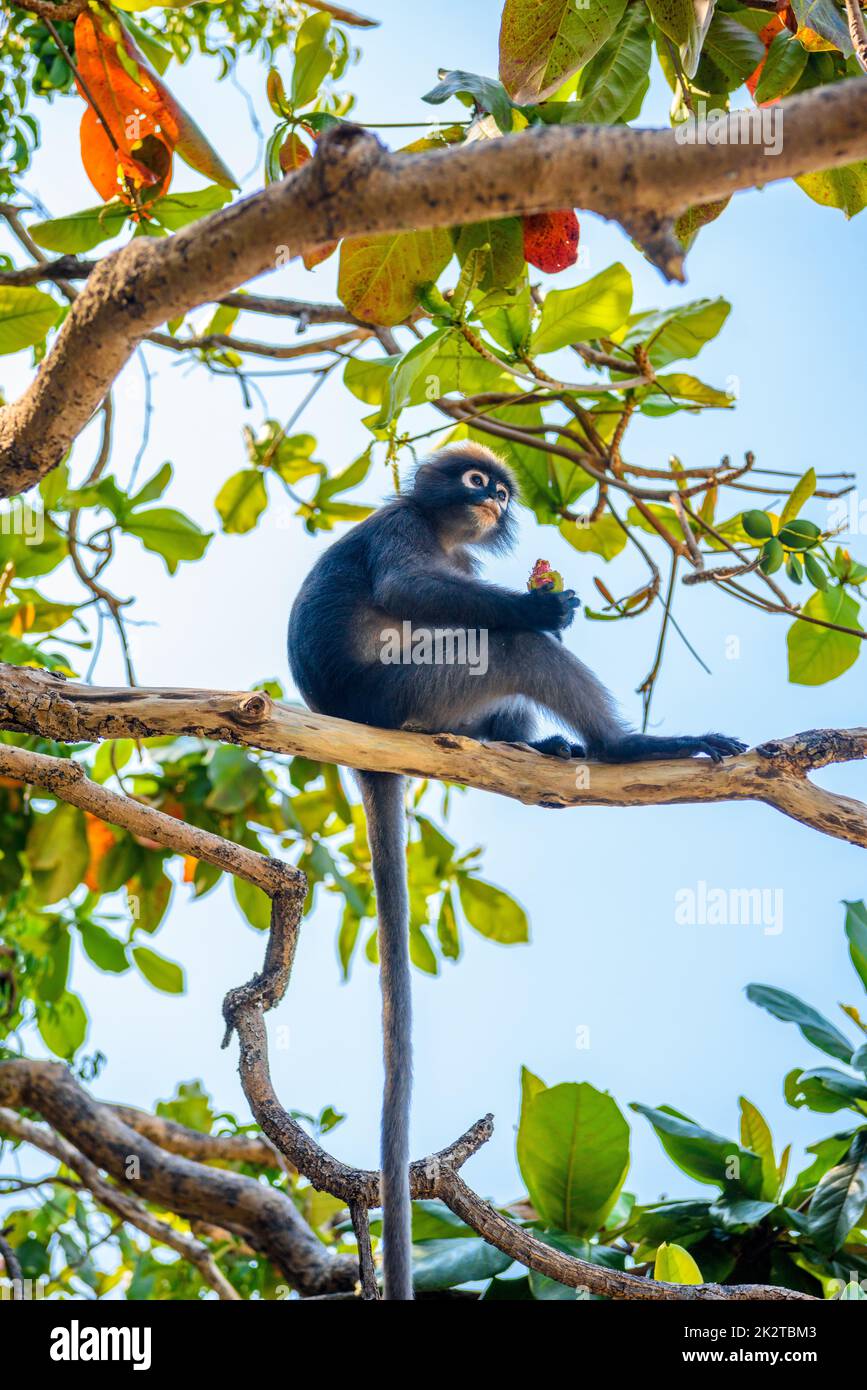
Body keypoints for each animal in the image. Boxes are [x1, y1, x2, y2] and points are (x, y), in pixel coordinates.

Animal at [287, 439, 750, 1295]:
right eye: (478, 483)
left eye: (501, 493)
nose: (494, 502)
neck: (445, 532)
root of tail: (358, 734)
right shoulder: (402, 530)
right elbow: (407, 588)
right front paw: (542, 607)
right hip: (413, 685)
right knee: (506, 646)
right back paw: (619, 745)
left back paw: (543, 746)